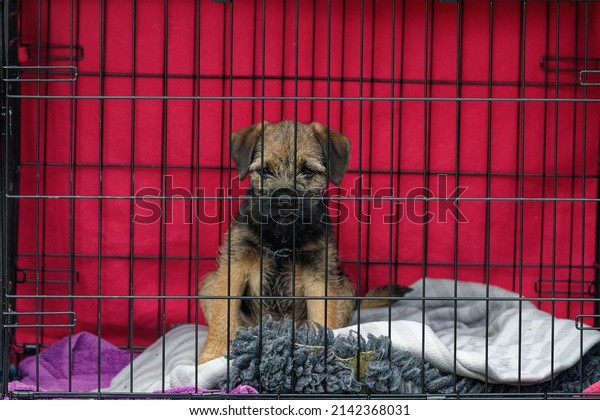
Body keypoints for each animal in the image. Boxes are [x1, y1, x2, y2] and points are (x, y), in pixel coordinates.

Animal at [200, 120, 404, 362]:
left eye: (308, 171)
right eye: (264, 170)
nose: (284, 199)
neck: (282, 236)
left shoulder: (319, 277)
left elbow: (324, 319)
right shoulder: (235, 266)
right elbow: (223, 314)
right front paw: (212, 356)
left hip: (345, 287)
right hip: (208, 283)